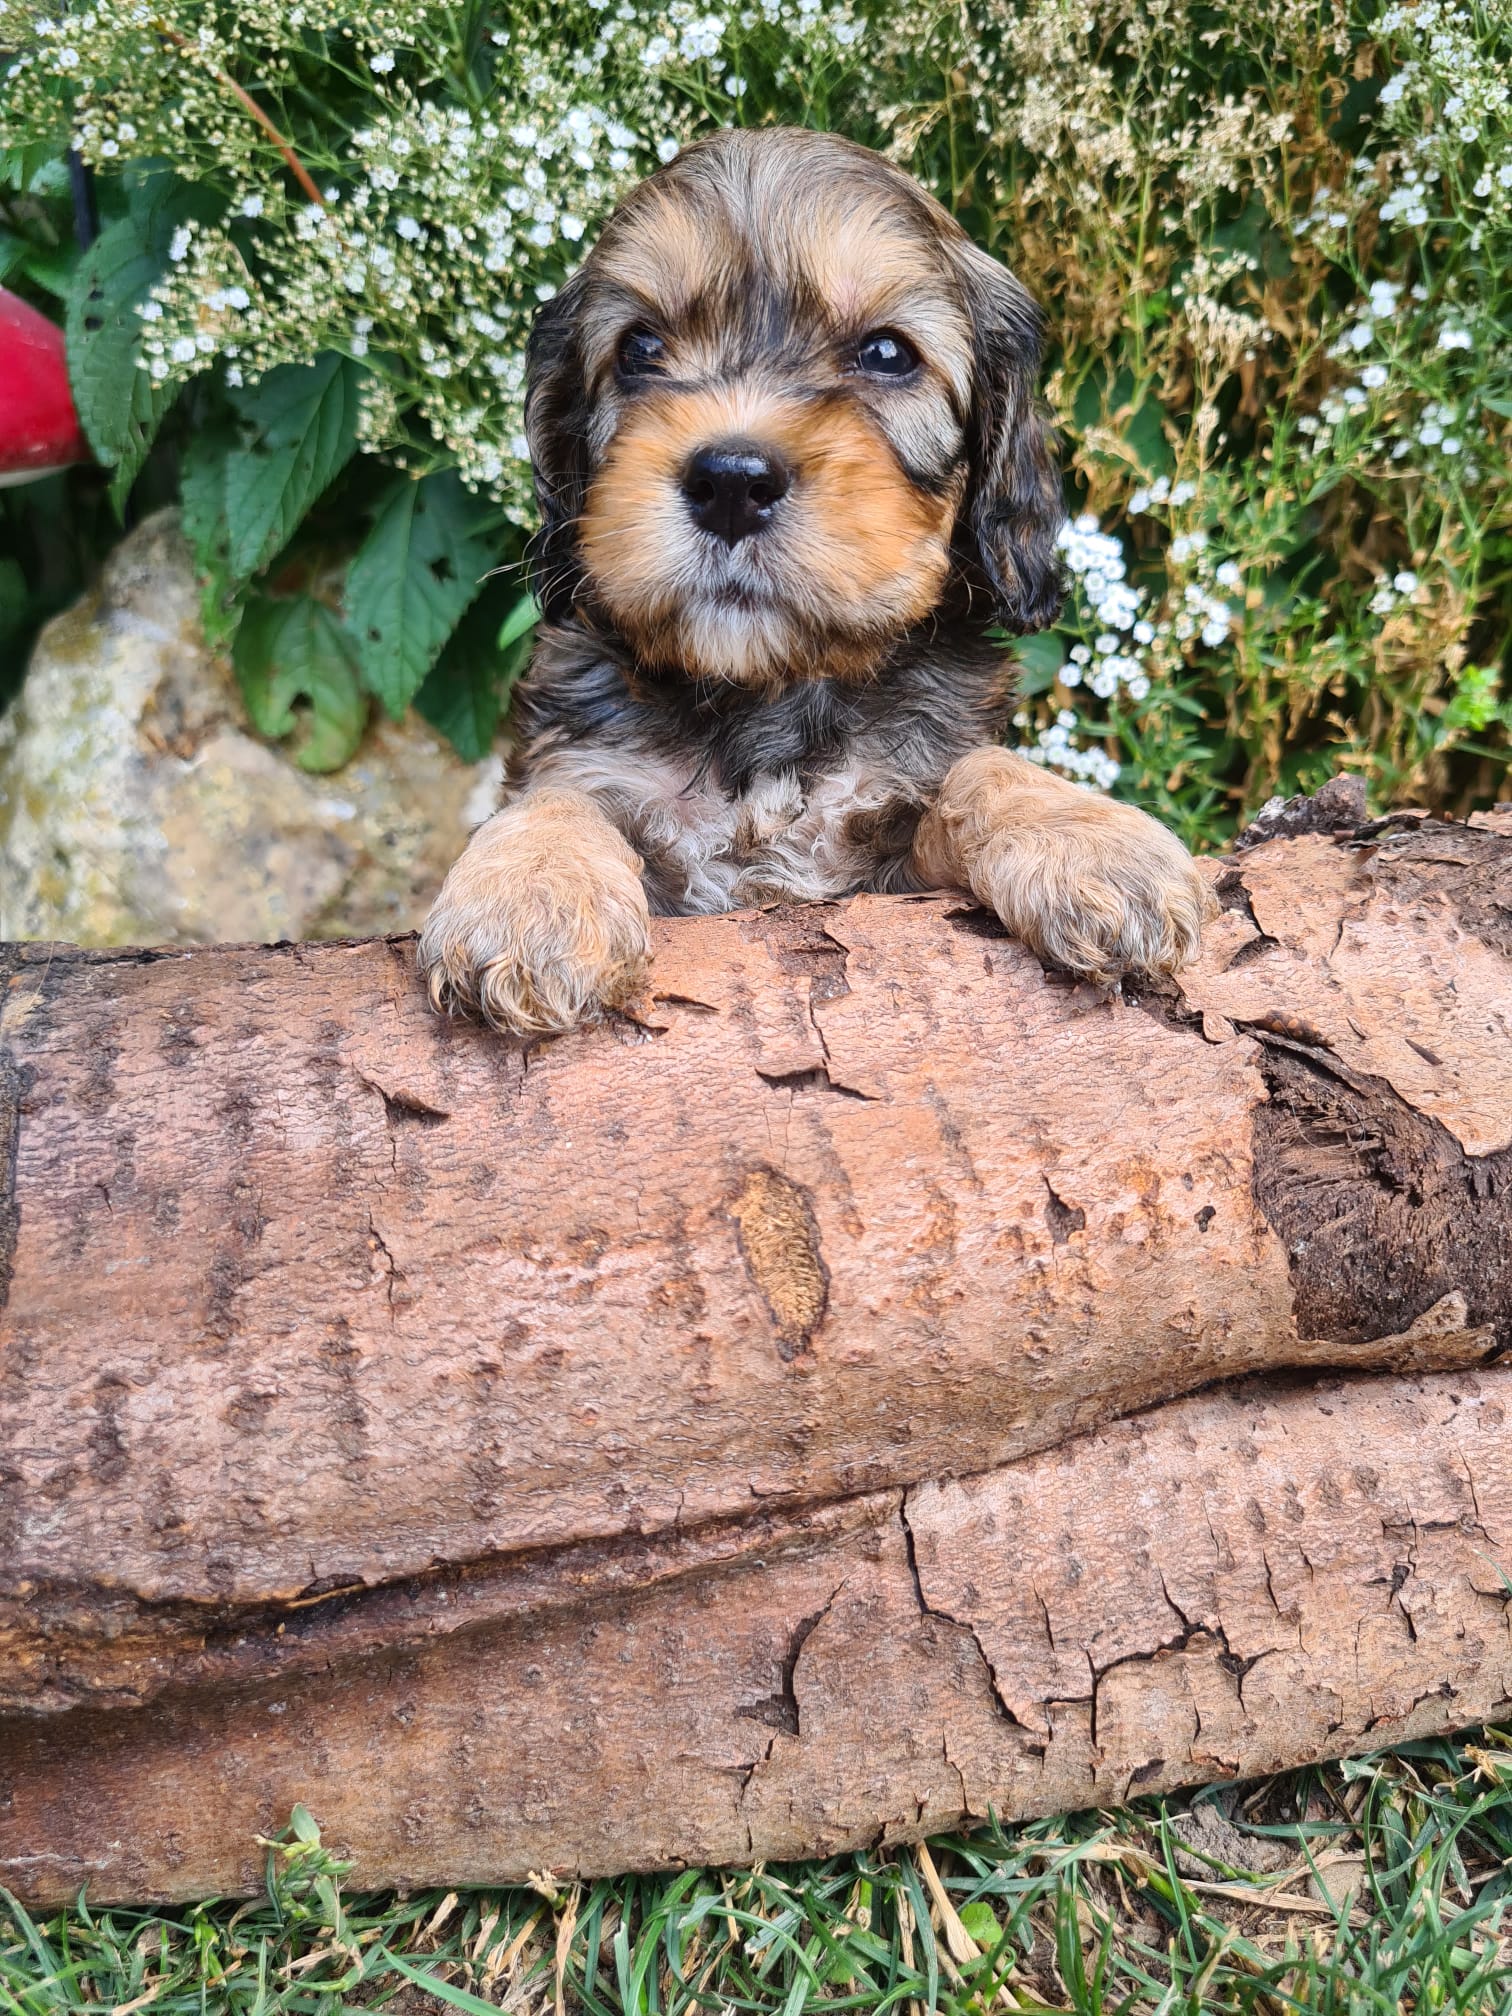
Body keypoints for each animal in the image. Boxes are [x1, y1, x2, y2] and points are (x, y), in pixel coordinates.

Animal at [419, 127, 1210, 1035]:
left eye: (888, 352)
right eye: (639, 348)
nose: (731, 481)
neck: (767, 702)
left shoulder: (895, 871)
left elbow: (982, 768)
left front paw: (1089, 839)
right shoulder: (594, 770)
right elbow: (558, 793)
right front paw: (532, 897)